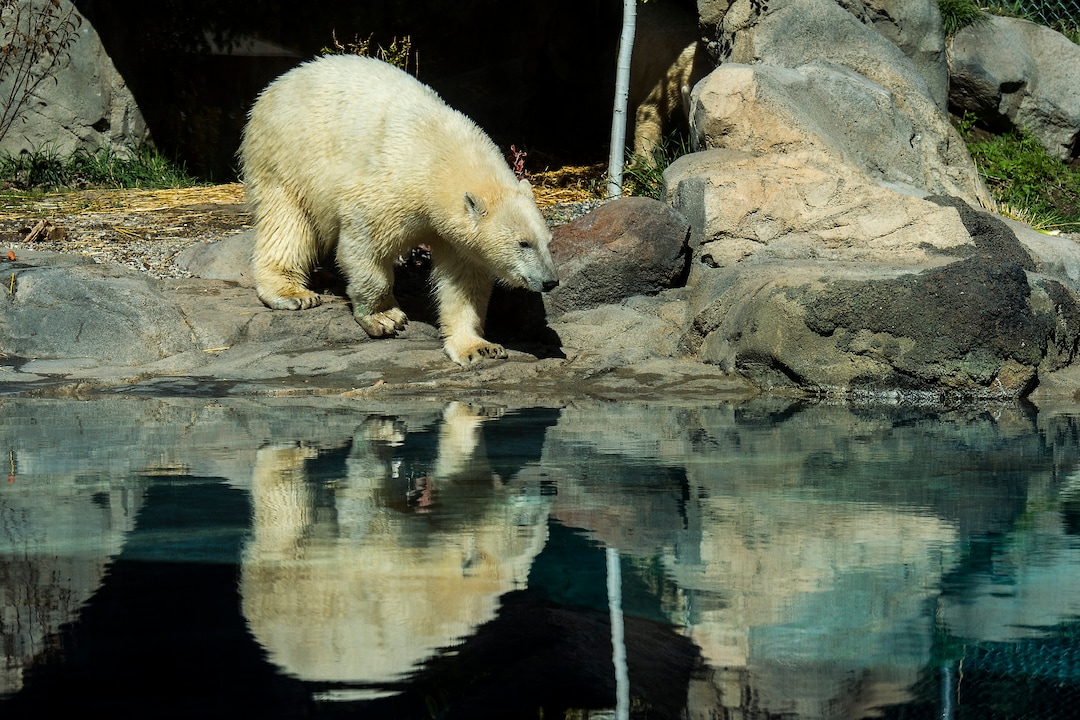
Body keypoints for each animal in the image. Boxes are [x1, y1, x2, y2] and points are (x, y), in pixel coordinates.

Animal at [239, 55, 559, 366]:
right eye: (523, 243)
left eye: (548, 242)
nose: (550, 281)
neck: (440, 159)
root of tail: (279, 83)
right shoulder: (393, 185)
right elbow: (365, 244)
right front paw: (385, 318)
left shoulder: (455, 234)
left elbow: (463, 282)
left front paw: (478, 347)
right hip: (286, 155)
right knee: (287, 222)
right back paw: (292, 294)